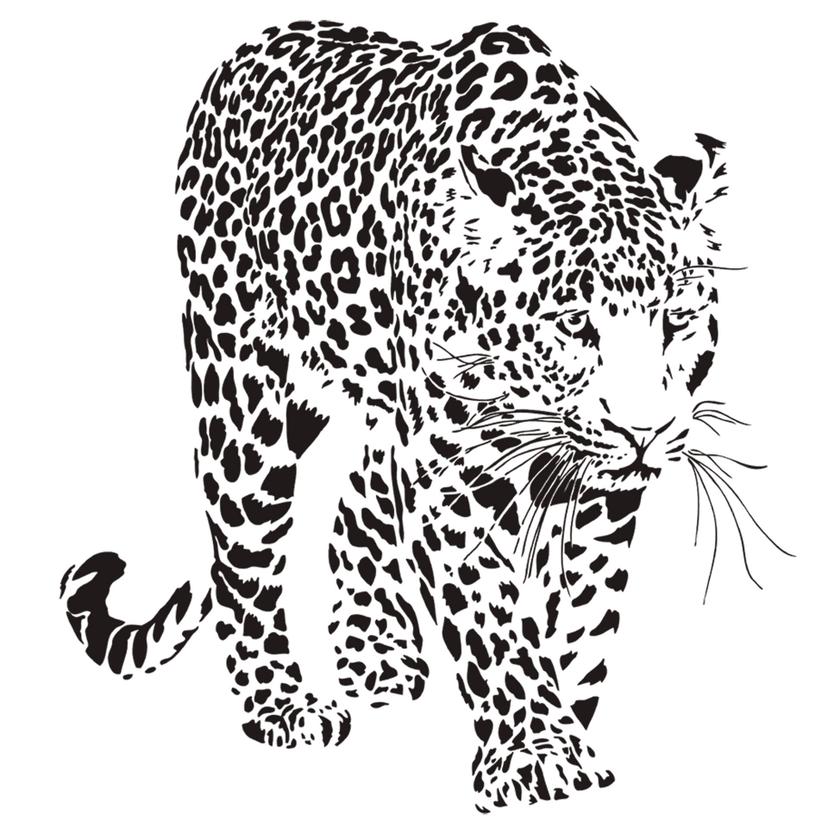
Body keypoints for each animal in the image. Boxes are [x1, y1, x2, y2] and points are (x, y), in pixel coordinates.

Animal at [60, 20, 748, 811]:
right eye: (575, 325)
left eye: (678, 321)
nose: (645, 433)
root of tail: (259, 40)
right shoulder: (450, 473)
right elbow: (490, 619)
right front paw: (537, 754)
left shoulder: (599, 494)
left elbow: (583, 612)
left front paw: (571, 729)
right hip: (245, 397)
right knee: (244, 552)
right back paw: (282, 705)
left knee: (359, 496)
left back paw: (374, 650)